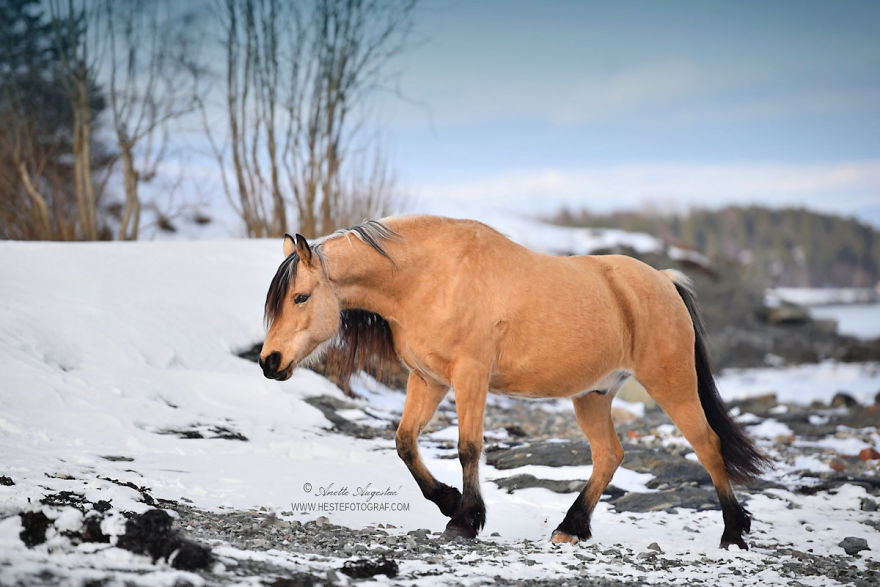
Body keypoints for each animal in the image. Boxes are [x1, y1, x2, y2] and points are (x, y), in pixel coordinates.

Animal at [258, 215, 769, 548]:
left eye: (301, 297)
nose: (269, 361)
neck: (429, 278)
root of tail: (662, 280)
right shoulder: (428, 379)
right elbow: (404, 442)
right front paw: (448, 502)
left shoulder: (470, 376)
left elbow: (468, 447)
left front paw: (466, 519)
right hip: (593, 395)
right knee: (609, 455)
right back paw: (571, 527)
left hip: (671, 383)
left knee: (707, 445)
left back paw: (732, 532)